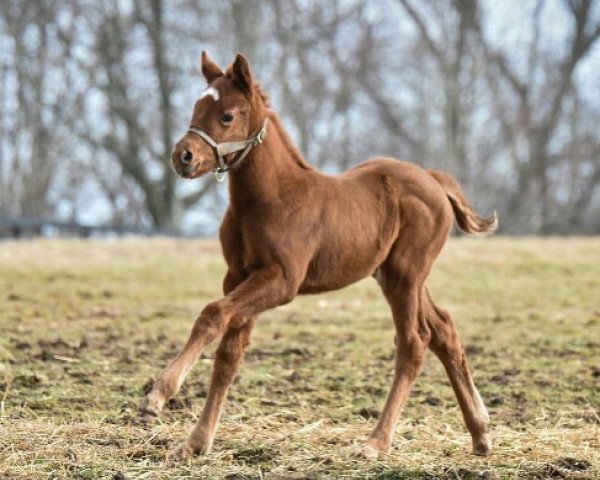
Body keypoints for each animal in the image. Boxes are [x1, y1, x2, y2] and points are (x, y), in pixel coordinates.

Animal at [139, 50, 496, 460]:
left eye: (226, 115)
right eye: (196, 107)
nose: (182, 156)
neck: (268, 199)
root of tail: (433, 179)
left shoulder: (281, 280)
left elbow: (212, 314)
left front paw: (157, 396)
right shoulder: (238, 275)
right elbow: (229, 356)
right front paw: (197, 442)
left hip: (405, 275)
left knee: (414, 342)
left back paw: (376, 442)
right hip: (398, 275)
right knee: (444, 329)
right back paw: (480, 432)